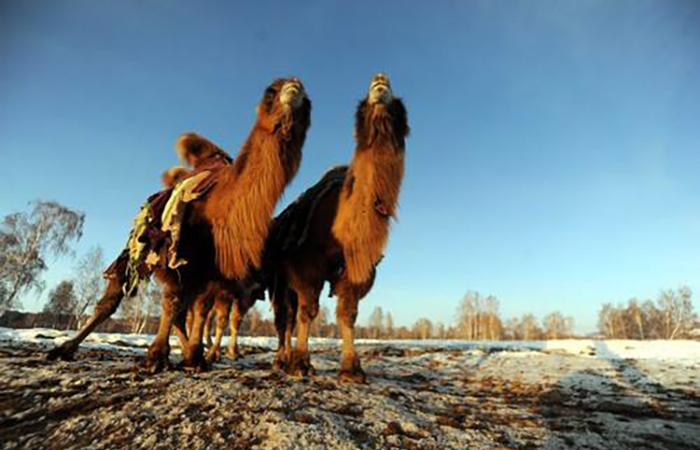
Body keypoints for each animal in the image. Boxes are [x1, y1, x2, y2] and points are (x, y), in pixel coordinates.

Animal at [47, 77, 312, 370]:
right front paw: (157, 356)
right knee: (113, 296)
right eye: (270, 92)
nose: (294, 85)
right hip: (140, 247)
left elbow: (198, 309)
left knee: (185, 310)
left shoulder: (212, 269)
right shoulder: (178, 251)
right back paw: (64, 348)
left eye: (306, 97)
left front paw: (194, 356)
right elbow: (173, 303)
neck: (220, 207)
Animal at [264, 74, 408, 384]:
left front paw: (352, 370)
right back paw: (281, 360)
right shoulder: (305, 266)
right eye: (365, 100)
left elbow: (348, 313)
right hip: (279, 276)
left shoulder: (359, 270)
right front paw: (300, 365)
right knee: (285, 316)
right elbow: (307, 312)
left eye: (395, 98)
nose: (380, 80)